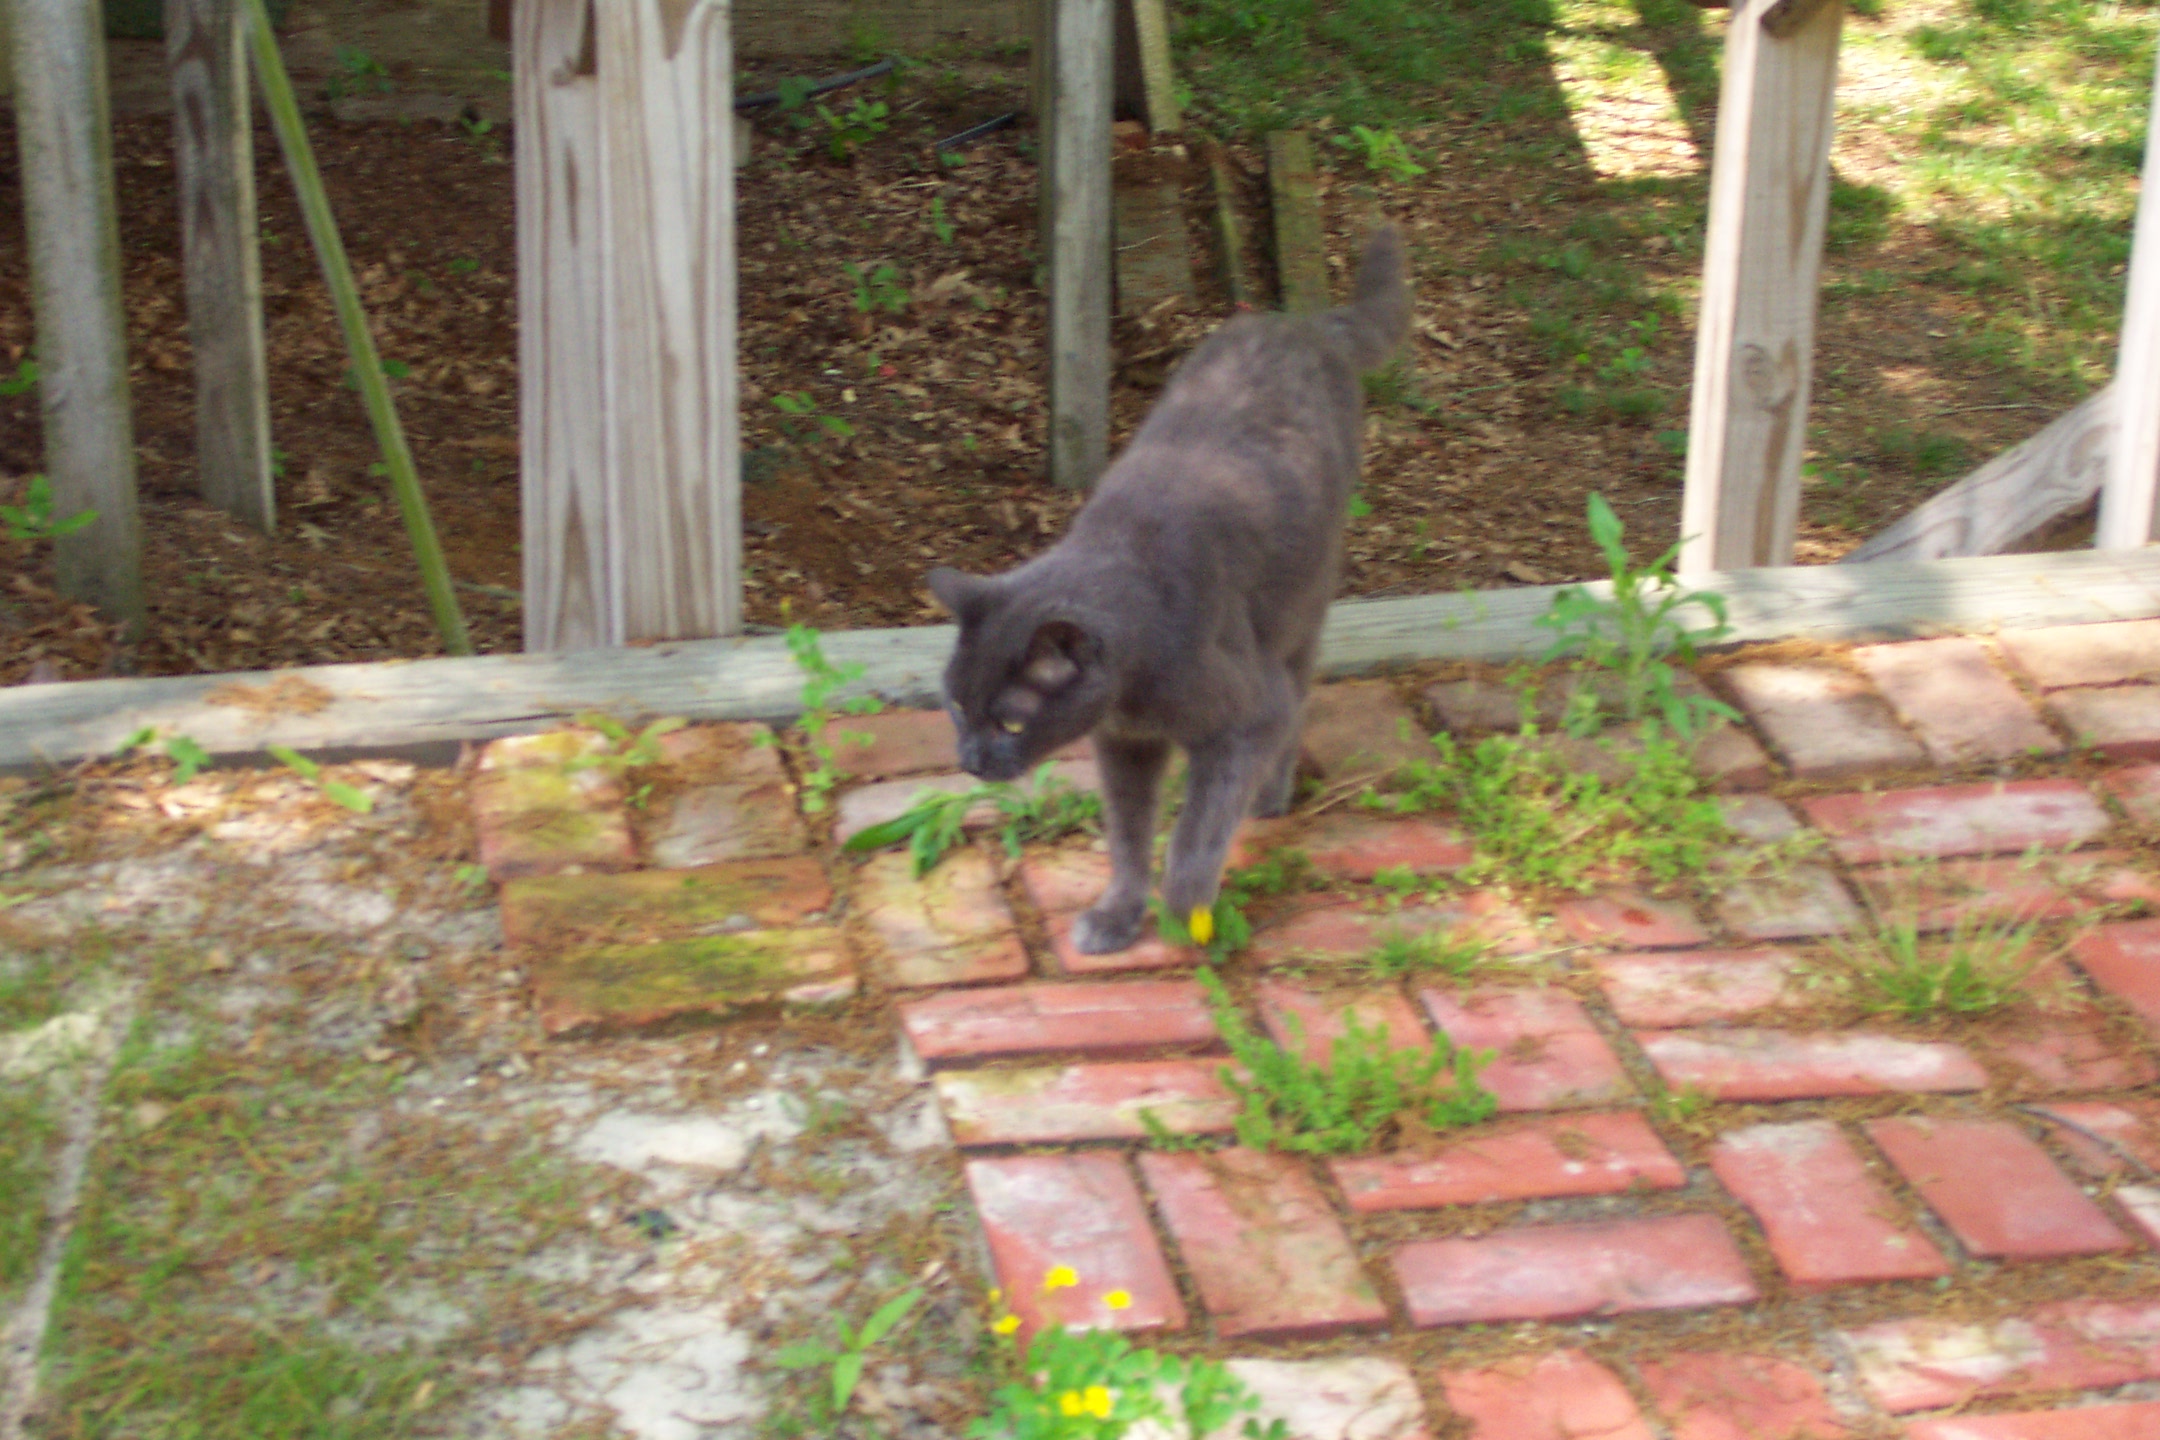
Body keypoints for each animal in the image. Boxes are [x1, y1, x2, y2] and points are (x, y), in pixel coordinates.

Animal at [927, 224, 1411, 953]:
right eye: (956, 705)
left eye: (1011, 720)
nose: (970, 760)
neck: (1134, 687)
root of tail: (1302, 322)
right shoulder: (1124, 745)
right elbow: (1128, 833)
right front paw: (1117, 914)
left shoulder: (1245, 713)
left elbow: (1197, 832)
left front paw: (1188, 917)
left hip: (1303, 605)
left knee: (1300, 695)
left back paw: (1271, 795)